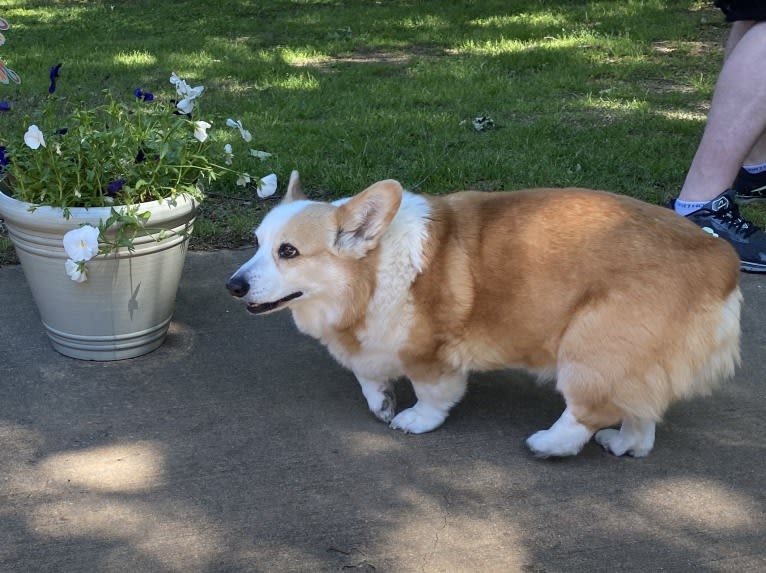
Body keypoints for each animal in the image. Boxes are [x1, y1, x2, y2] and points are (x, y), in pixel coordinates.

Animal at [228, 170, 744, 456]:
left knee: (589, 410)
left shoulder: (431, 355)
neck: (371, 272)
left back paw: (549, 444)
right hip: (637, 361)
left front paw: (413, 419)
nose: (233, 286)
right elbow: (367, 376)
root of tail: (720, 259)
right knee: (642, 413)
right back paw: (624, 445)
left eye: (288, 252)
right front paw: (381, 402)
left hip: (592, 347)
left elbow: (433, 394)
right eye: (256, 243)